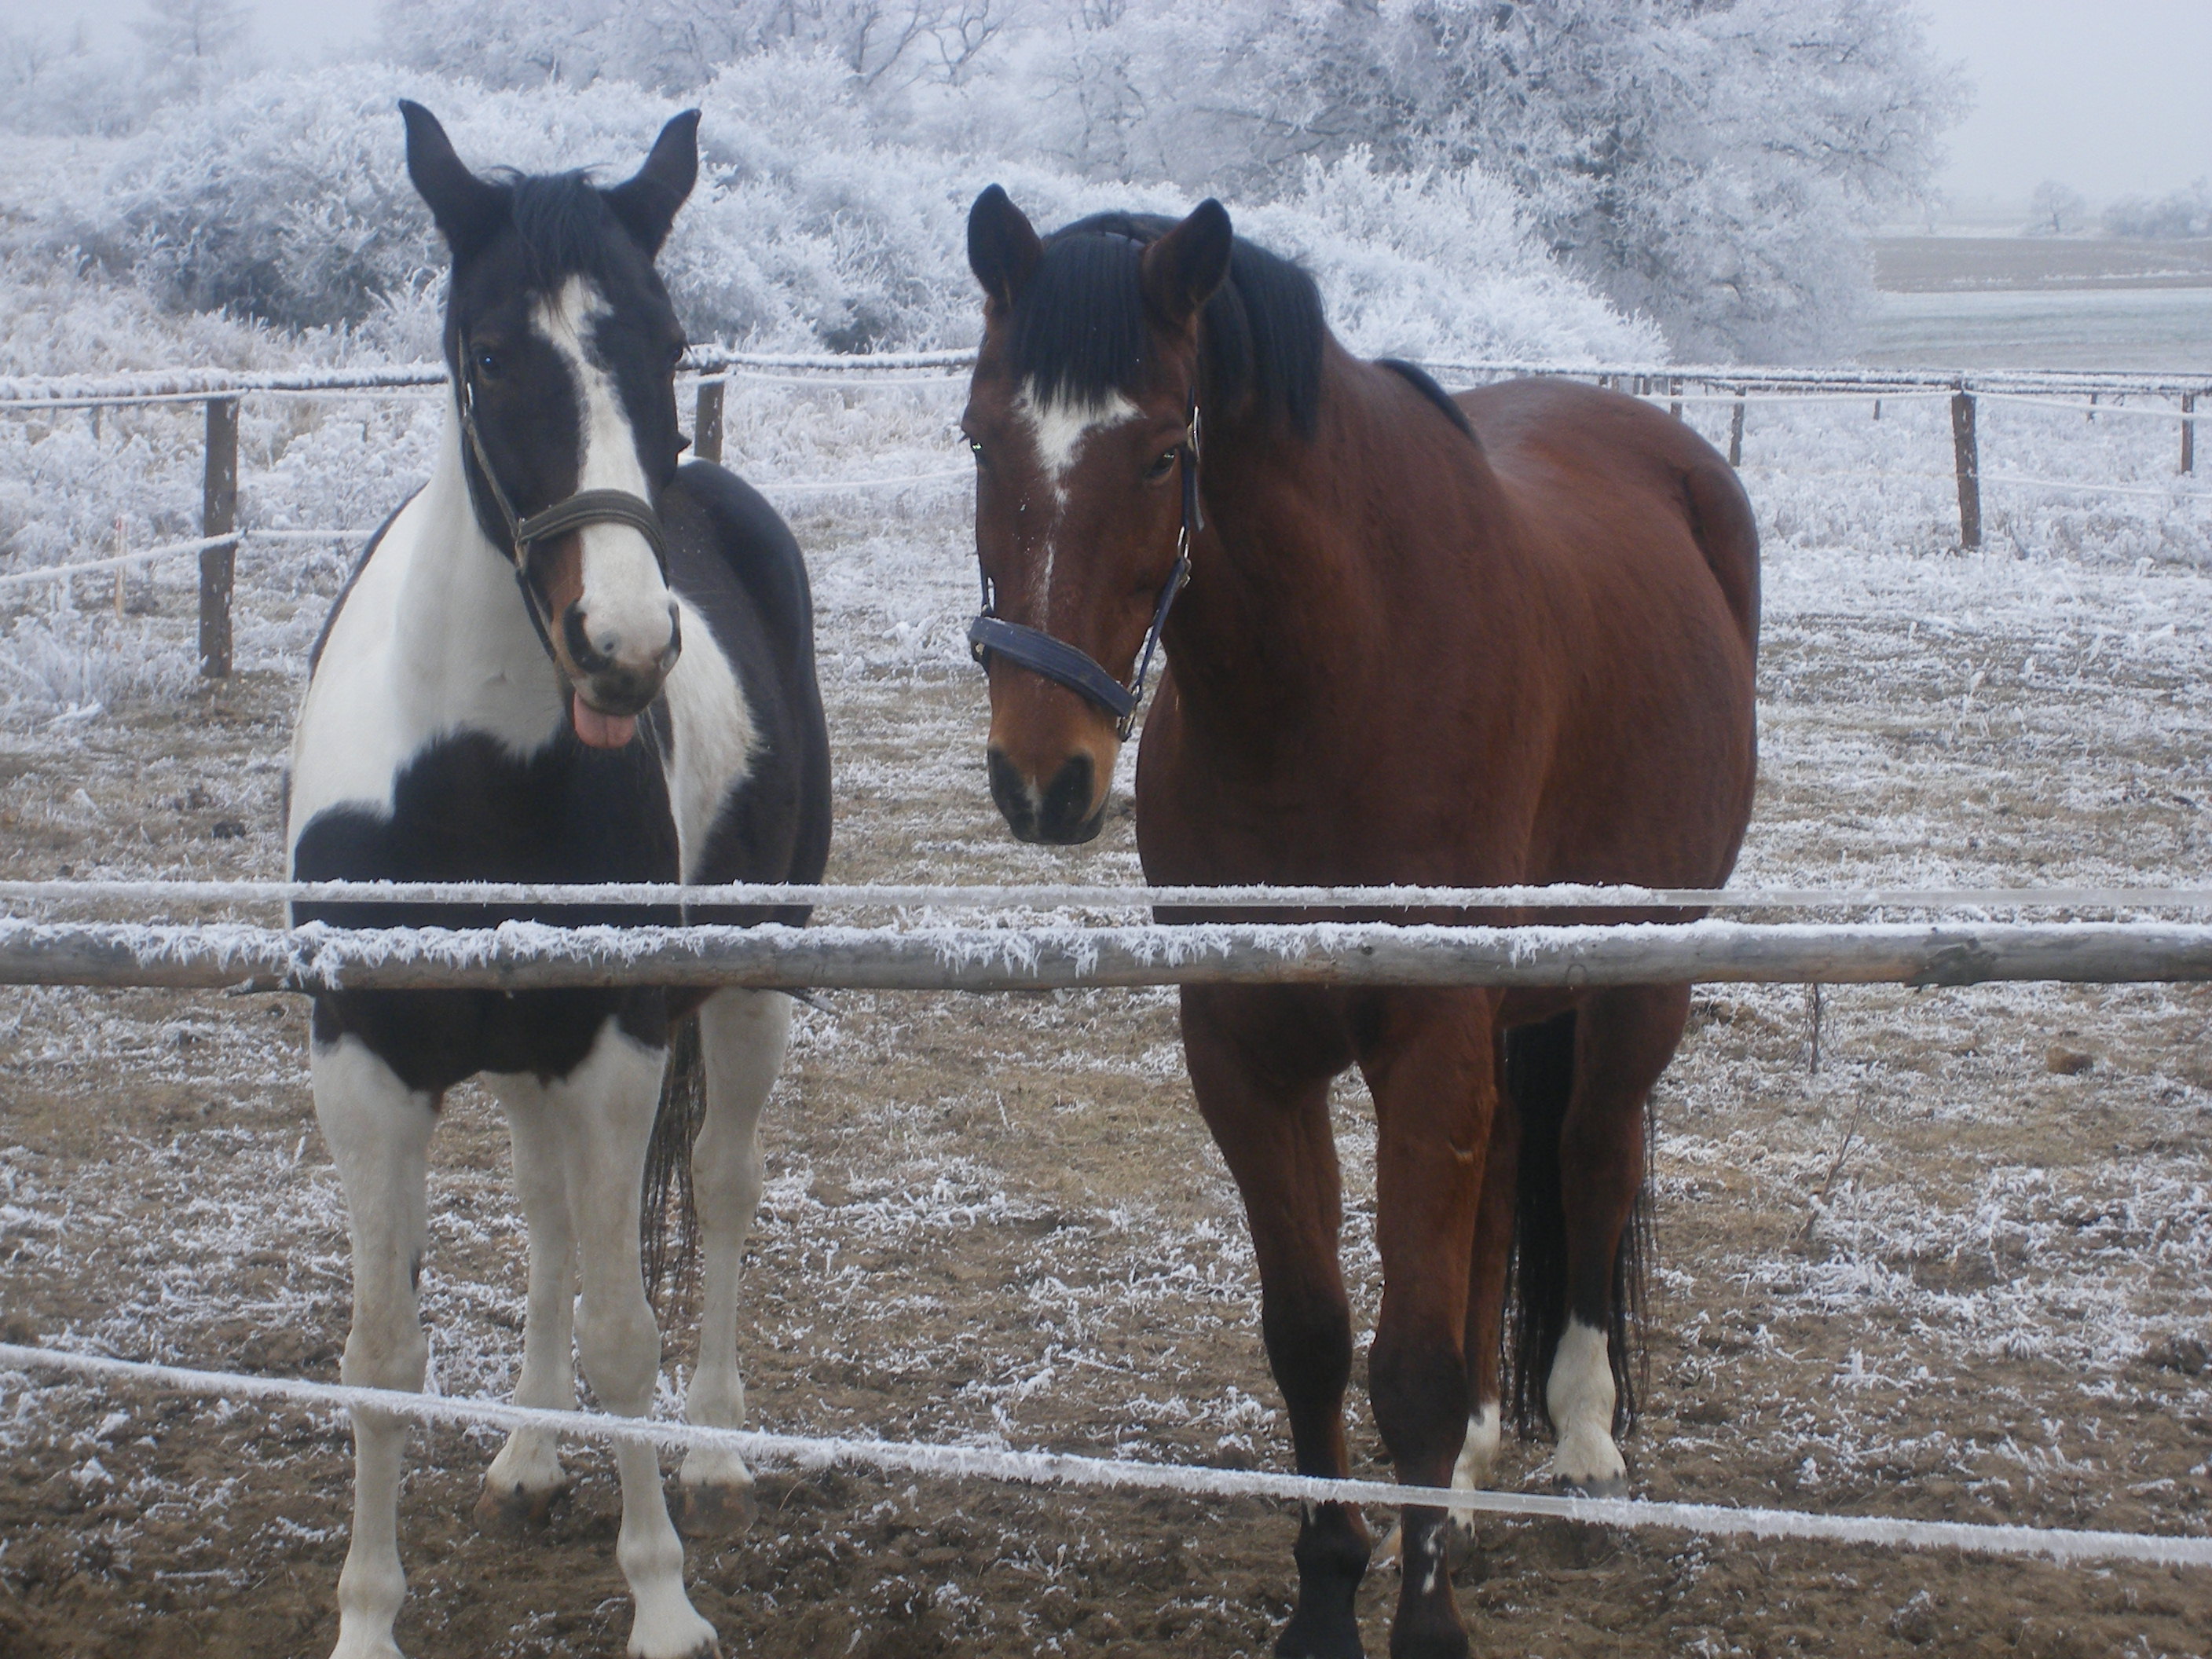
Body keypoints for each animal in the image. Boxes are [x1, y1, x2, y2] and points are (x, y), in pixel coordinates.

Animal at [280, 107, 827, 1659]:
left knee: (720, 1190)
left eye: (670, 338)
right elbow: (382, 1348)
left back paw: (714, 1451)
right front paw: (366, 1619)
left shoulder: (614, 1044)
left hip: (745, 988)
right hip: (522, 1059)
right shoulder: (364, 1065)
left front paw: (664, 1603)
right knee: (546, 1222)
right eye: (486, 352)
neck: (467, 775)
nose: (625, 646)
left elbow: (627, 1332)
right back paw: (527, 1455)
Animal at [960, 194, 1752, 1659]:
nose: (1044, 776)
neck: (1332, 679)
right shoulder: (1244, 1048)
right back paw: (1486, 1466)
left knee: (1594, 1155)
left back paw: (1586, 1442)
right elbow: (1315, 1336)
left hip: (1633, 983)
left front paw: (1425, 1622)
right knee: (1506, 1189)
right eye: (983, 435)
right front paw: (1330, 1593)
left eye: (1165, 454)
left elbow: (1415, 1364)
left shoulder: (1428, 1037)